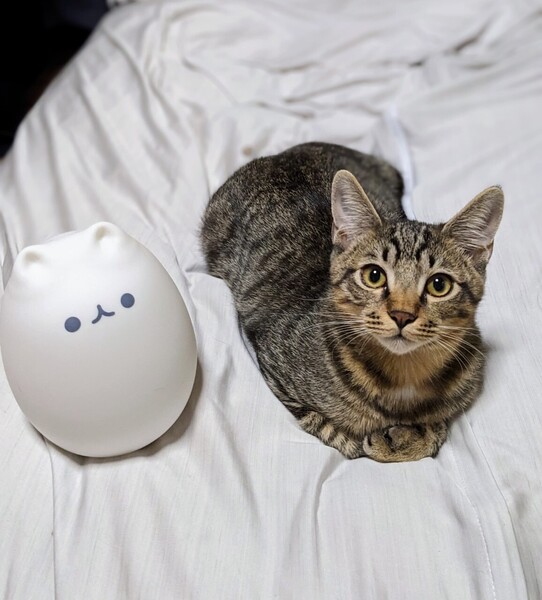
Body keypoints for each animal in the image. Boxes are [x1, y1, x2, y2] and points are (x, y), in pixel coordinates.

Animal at [201, 142, 504, 462]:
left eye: (439, 285)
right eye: (374, 276)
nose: (402, 315)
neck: (405, 374)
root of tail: (285, 153)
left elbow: (440, 424)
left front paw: (412, 437)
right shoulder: (273, 364)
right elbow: (327, 428)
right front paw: (362, 441)